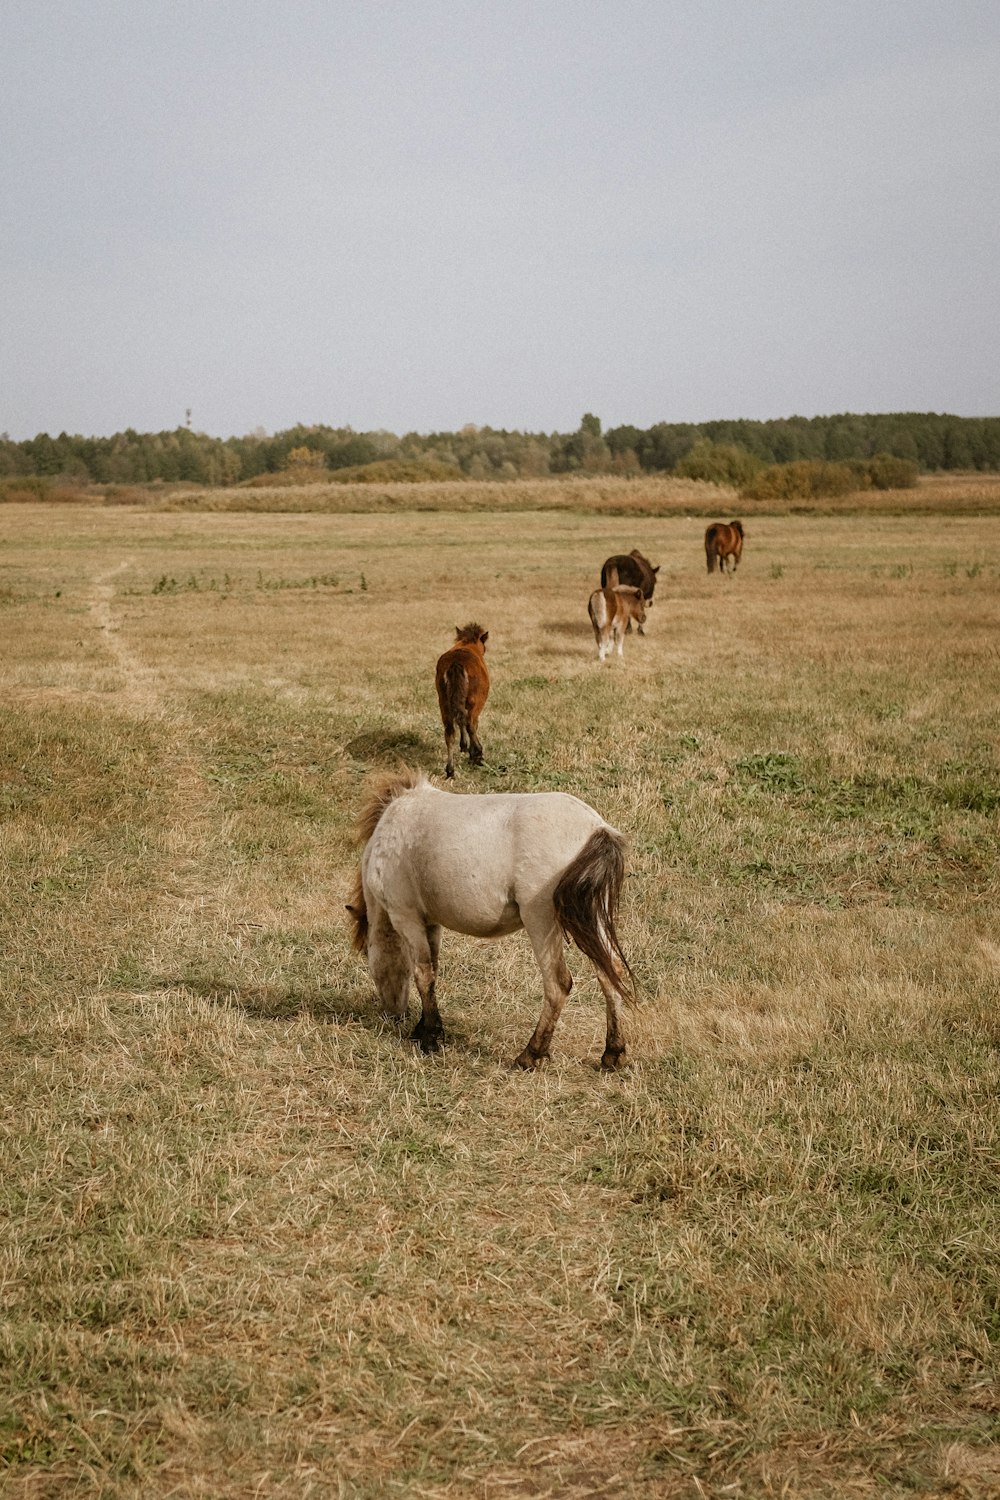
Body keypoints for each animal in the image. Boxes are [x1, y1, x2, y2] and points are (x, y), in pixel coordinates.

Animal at [347, 768, 638, 1074]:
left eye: (367, 954)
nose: (392, 1014)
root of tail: (596, 828)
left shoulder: (407, 917)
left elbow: (422, 974)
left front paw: (429, 1037)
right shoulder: (431, 923)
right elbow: (433, 971)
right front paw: (425, 1028)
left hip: (541, 921)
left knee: (557, 983)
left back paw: (530, 1054)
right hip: (592, 918)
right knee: (611, 974)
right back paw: (613, 1053)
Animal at [434, 624, 491, 780]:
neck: (467, 644)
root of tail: (456, 663)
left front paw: (464, 746)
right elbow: (471, 725)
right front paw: (472, 752)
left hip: (444, 703)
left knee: (449, 732)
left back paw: (450, 770)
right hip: (474, 702)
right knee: (470, 724)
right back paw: (478, 754)